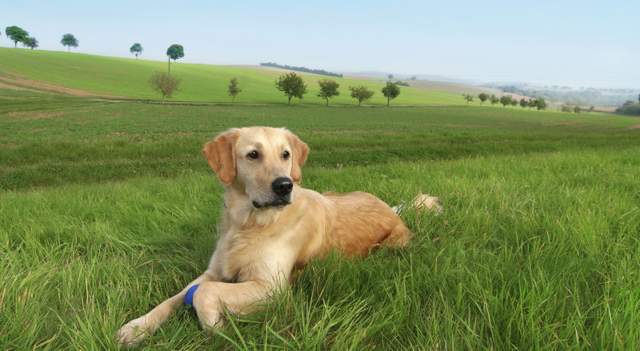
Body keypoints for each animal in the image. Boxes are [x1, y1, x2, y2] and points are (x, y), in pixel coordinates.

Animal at [116, 126, 440, 346]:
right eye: (253, 154)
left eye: (286, 154)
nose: (284, 185)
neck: (249, 224)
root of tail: (391, 208)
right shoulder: (213, 271)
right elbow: (175, 297)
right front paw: (136, 327)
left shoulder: (273, 288)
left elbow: (203, 294)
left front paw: (219, 327)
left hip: (394, 244)